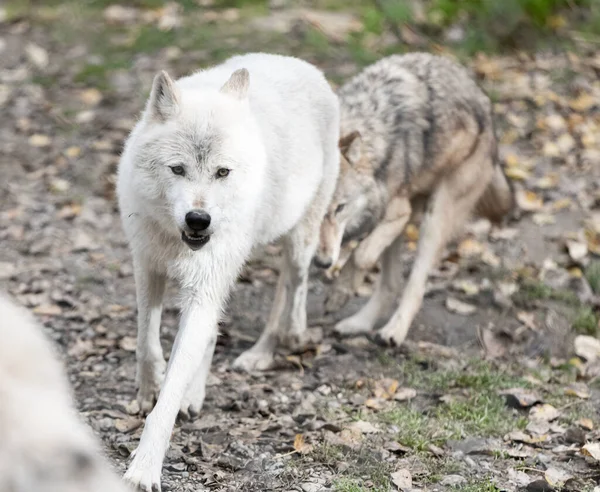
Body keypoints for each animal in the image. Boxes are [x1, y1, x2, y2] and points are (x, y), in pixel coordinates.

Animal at [116, 52, 340, 490]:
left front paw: (144, 468)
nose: (198, 219)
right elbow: (147, 343)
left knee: (294, 286)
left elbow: (167, 402)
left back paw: (281, 340)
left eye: (222, 172)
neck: (176, 241)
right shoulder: (147, 265)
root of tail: (302, 63)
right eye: (177, 169)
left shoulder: (203, 287)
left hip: (295, 243)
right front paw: (148, 389)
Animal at [312, 52, 512, 346]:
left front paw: (339, 292)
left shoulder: (397, 212)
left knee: (414, 286)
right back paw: (358, 324)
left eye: (340, 208)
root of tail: (485, 101)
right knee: (392, 284)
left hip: (433, 220)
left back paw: (393, 331)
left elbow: (361, 255)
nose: (322, 263)